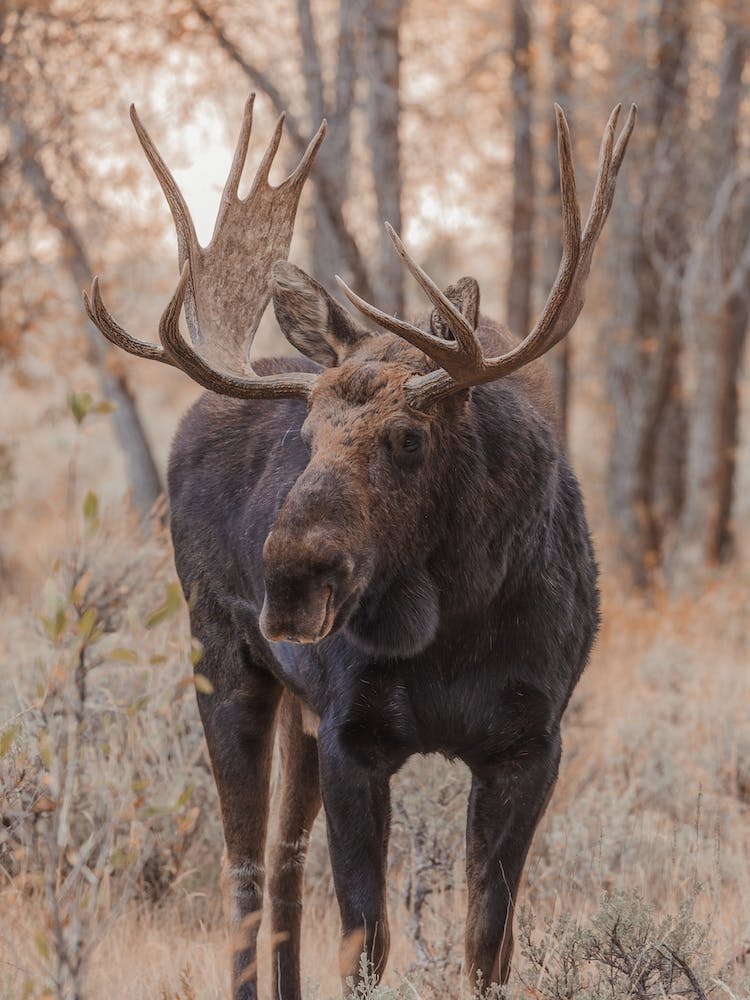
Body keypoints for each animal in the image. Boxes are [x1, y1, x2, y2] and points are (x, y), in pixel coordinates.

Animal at [84, 94, 635, 999]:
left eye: (409, 437)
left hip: (296, 710)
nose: (289, 579)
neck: (452, 625)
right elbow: (366, 942)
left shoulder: (532, 744)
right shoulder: (353, 735)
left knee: (281, 863)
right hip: (222, 660)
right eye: (307, 435)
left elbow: (488, 944)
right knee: (244, 870)